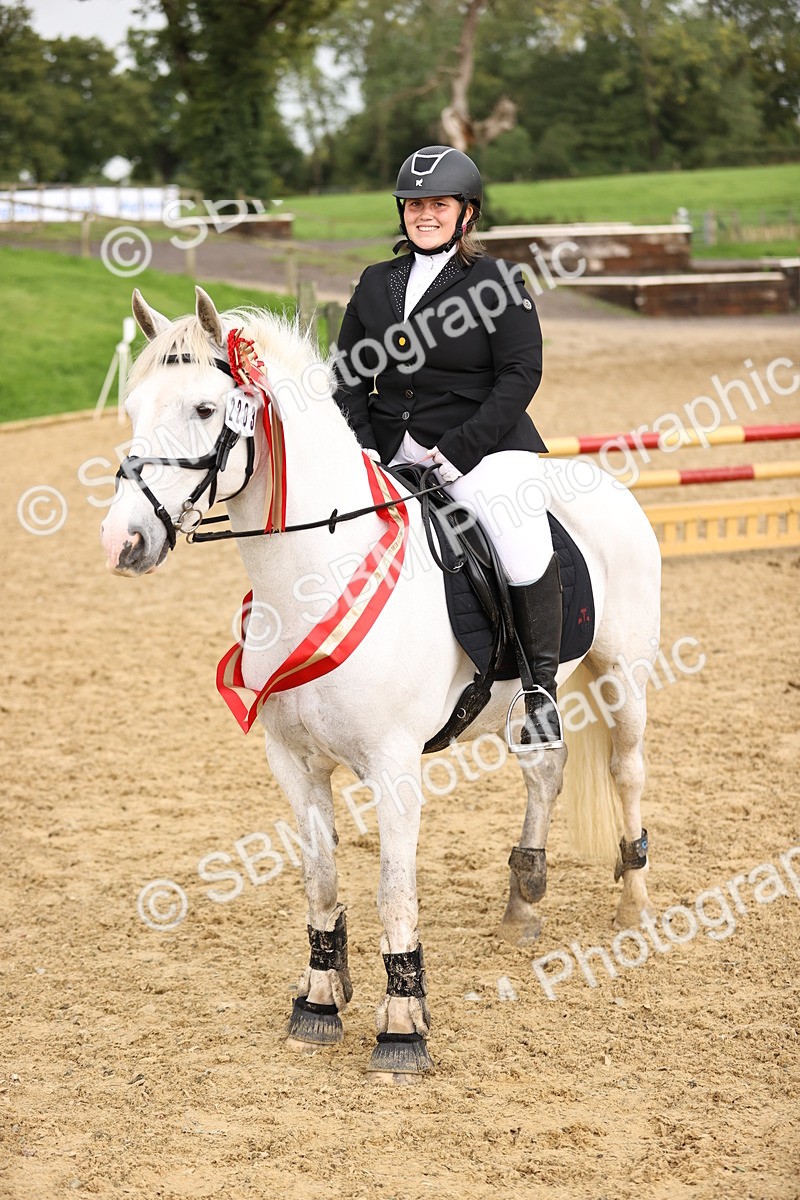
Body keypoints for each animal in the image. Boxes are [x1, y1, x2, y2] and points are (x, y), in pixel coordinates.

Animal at [100, 285, 661, 1082]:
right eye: (132, 406)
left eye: (207, 409)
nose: (123, 541)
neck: (315, 572)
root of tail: (600, 481)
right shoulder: (295, 764)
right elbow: (321, 879)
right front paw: (318, 1000)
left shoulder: (394, 767)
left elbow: (393, 890)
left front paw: (401, 1026)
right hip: (535, 699)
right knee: (545, 772)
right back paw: (523, 904)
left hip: (623, 676)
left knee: (626, 771)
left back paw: (634, 905)